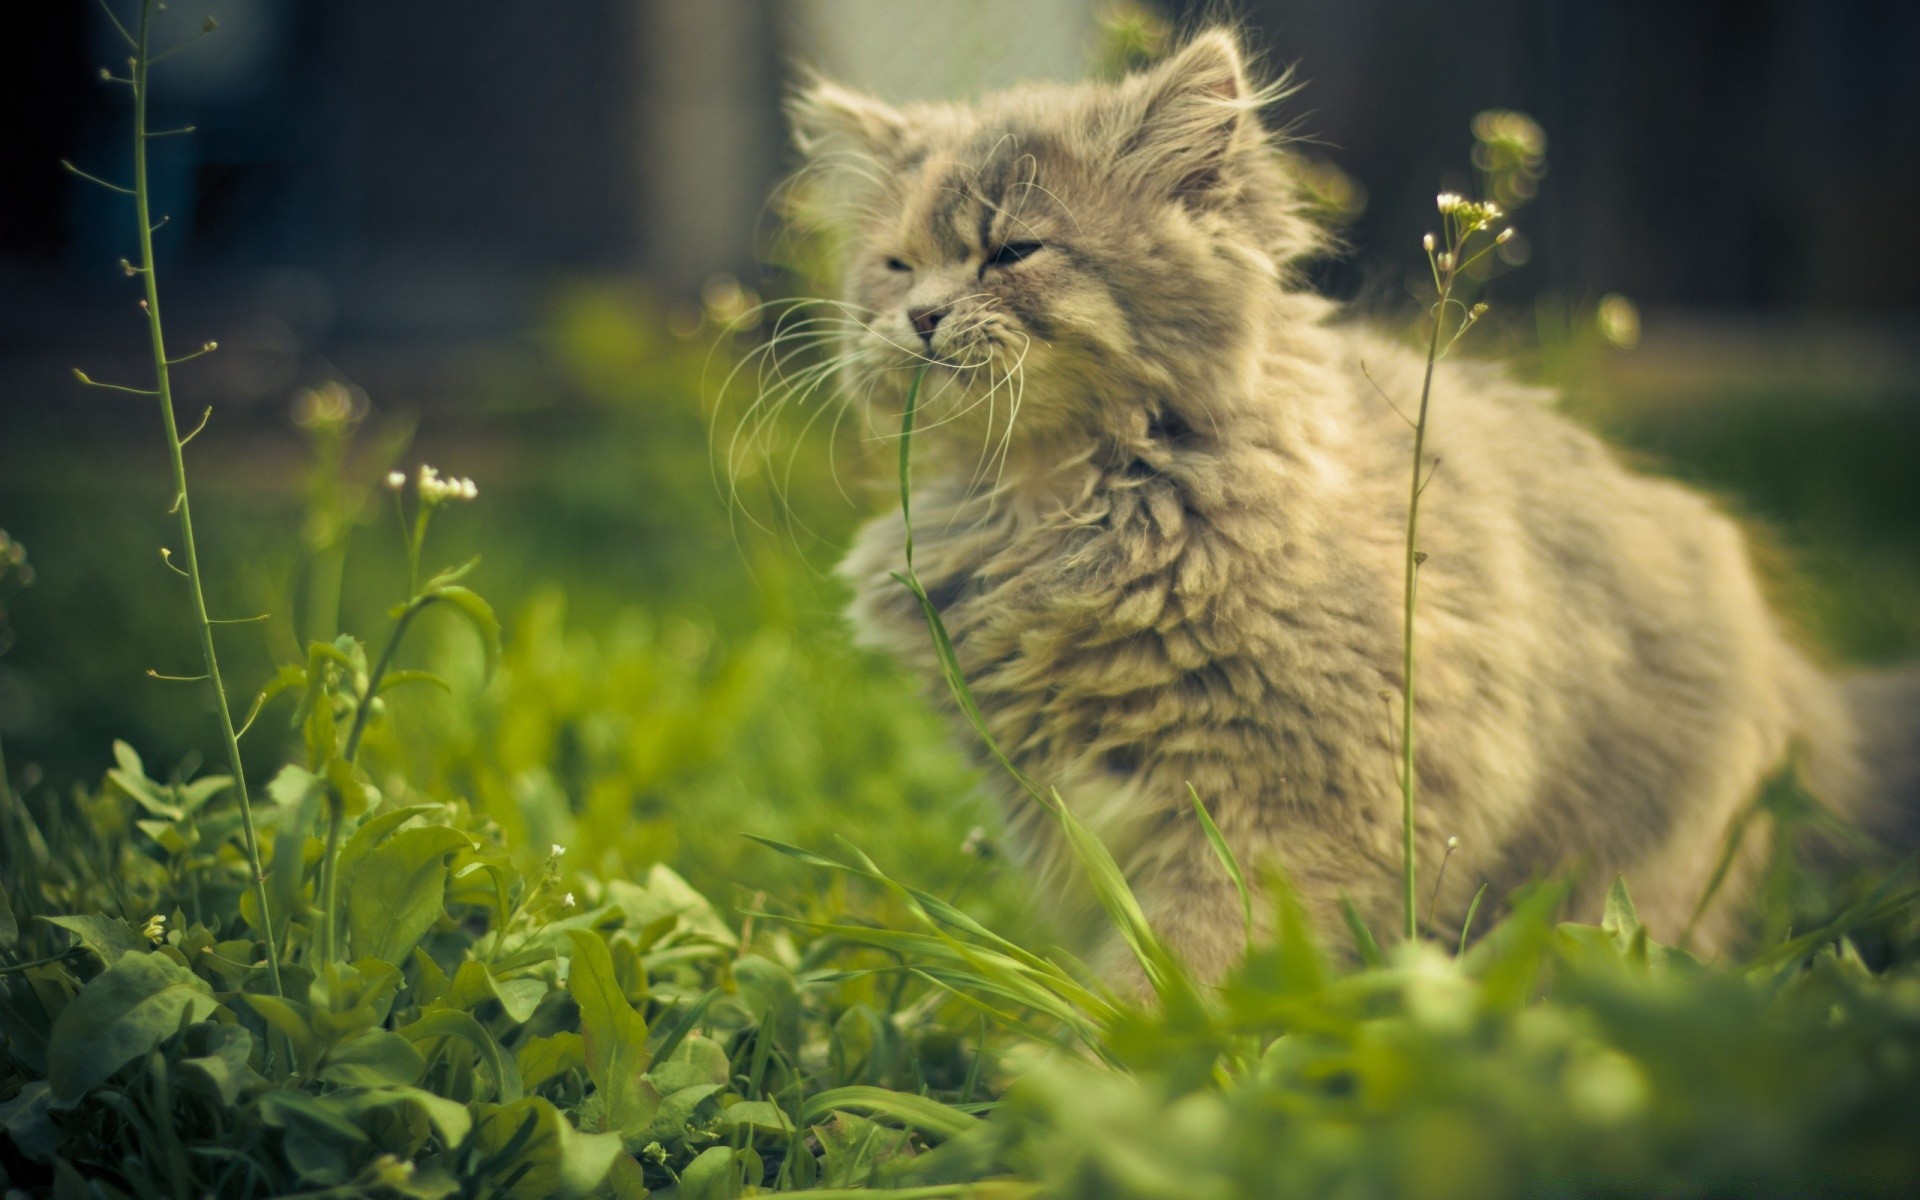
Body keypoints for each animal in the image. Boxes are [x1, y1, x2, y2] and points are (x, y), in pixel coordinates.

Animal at [779, 28, 1920, 979]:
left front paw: (1126, 1065)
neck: (1058, 508)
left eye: (1013, 251)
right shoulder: (1068, 807)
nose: (922, 316)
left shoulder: (1293, 804)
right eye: (895, 267)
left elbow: (1190, 965)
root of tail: (1803, 688)